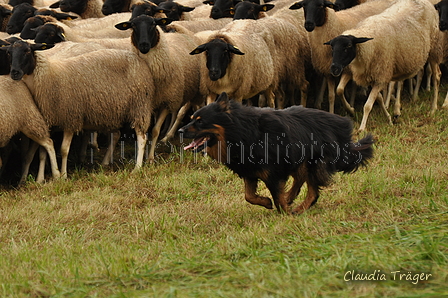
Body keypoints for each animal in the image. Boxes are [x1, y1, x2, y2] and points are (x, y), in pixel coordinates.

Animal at [179, 93, 374, 214]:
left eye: (200, 121)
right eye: (191, 119)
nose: (180, 131)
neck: (243, 132)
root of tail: (342, 124)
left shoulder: (272, 172)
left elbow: (276, 198)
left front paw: (284, 212)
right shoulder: (250, 172)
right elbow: (249, 196)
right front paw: (266, 202)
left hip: (313, 161)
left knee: (312, 191)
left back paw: (298, 209)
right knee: (300, 179)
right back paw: (291, 198)